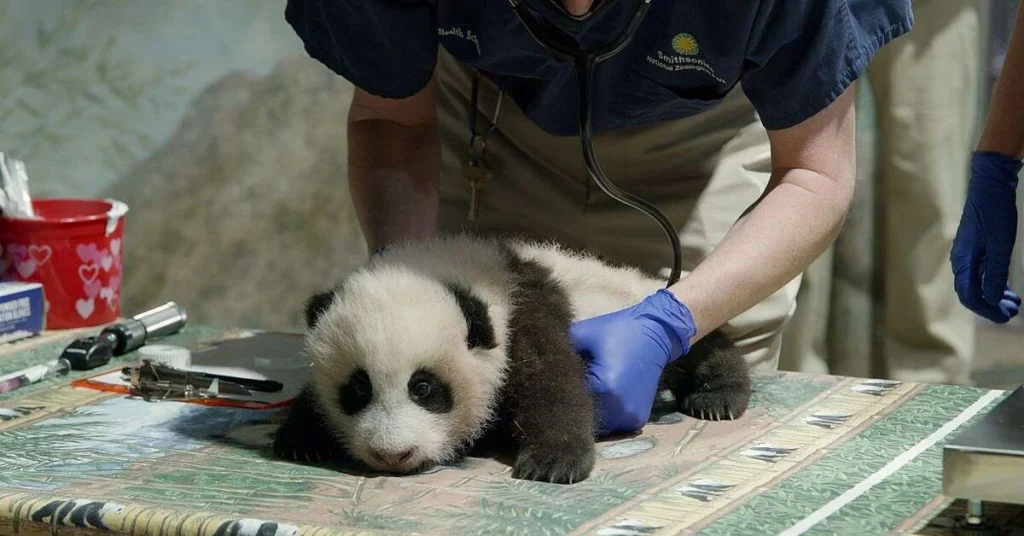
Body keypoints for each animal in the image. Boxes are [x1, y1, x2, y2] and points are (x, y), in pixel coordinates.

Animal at [272, 234, 751, 484]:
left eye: (424, 388)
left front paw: (554, 463)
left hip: (657, 313)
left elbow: (552, 383)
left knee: (704, 346)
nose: (392, 455)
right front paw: (302, 437)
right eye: (357, 390)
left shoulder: (525, 313)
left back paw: (717, 398)